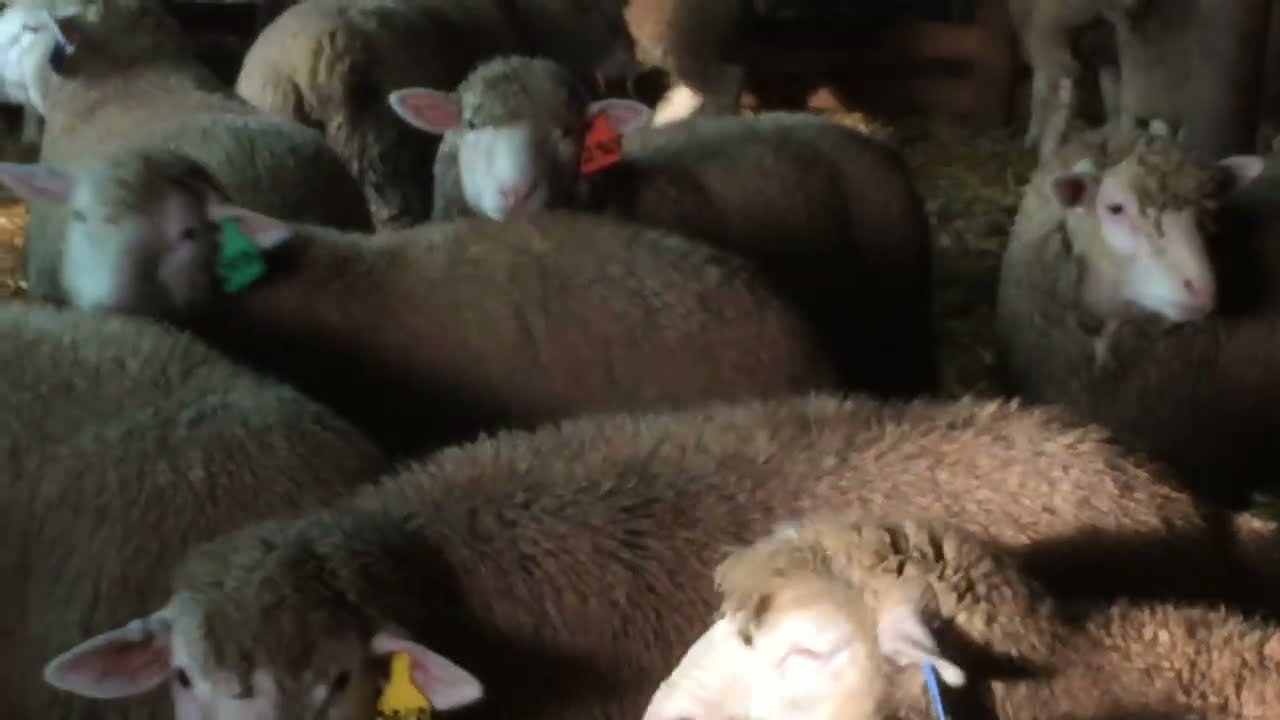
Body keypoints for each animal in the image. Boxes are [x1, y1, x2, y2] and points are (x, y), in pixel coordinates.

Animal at [388, 55, 939, 397]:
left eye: (570, 132)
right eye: (472, 124)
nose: (517, 195)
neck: (620, 192)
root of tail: (876, 143)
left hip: (901, 319)